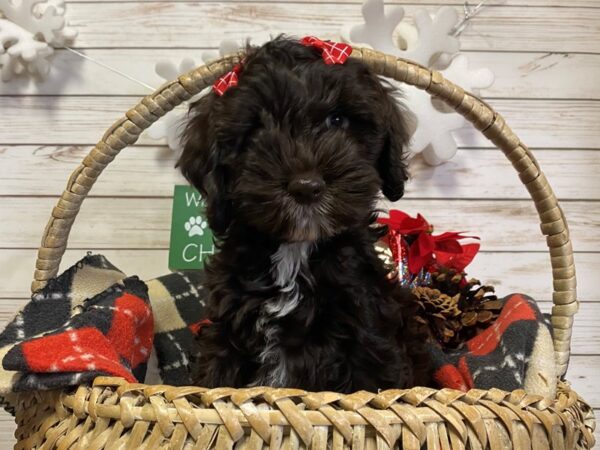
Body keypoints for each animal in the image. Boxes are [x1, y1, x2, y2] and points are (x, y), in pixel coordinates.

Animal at [176, 36, 424, 394]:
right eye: (256, 130)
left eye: (338, 121)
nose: (306, 186)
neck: (295, 250)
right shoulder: (225, 334)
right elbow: (214, 382)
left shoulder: (369, 333)